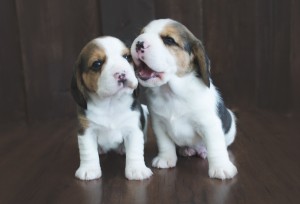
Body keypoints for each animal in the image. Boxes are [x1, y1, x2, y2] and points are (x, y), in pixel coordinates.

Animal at [70, 36, 152, 180]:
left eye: (127, 57)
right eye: (97, 64)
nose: (121, 74)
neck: (111, 103)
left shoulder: (133, 129)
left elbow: (135, 150)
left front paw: (137, 169)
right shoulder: (86, 131)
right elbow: (87, 152)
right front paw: (89, 169)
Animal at [130, 18, 238, 179]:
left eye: (169, 40)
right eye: (141, 33)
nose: (138, 43)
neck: (171, 92)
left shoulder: (210, 125)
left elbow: (216, 147)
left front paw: (221, 167)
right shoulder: (158, 124)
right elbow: (165, 144)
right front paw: (166, 158)